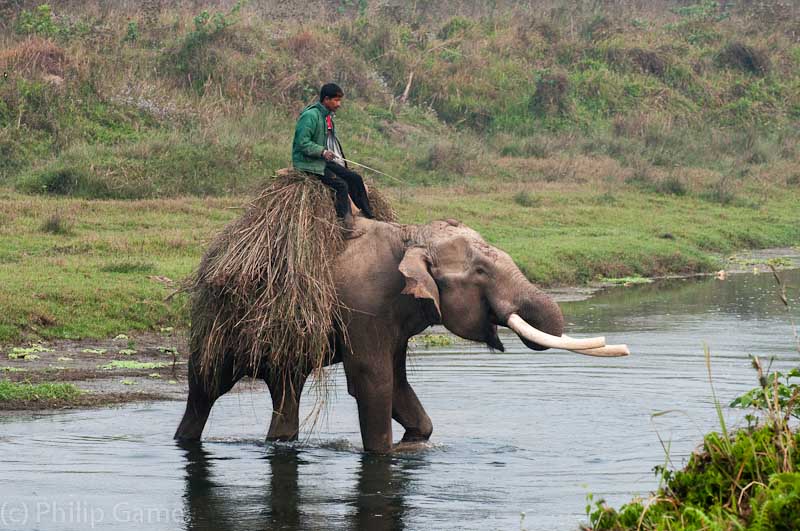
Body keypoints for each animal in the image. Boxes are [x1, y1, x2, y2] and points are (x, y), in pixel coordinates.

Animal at [175, 216, 584, 454]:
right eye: (481, 272)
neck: (410, 236)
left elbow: (398, 383)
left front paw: (417, 440)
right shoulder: (364, 305)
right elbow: (373, 381)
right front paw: (382, 453)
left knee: (286, 385)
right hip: (218, 320)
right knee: (206, 387)